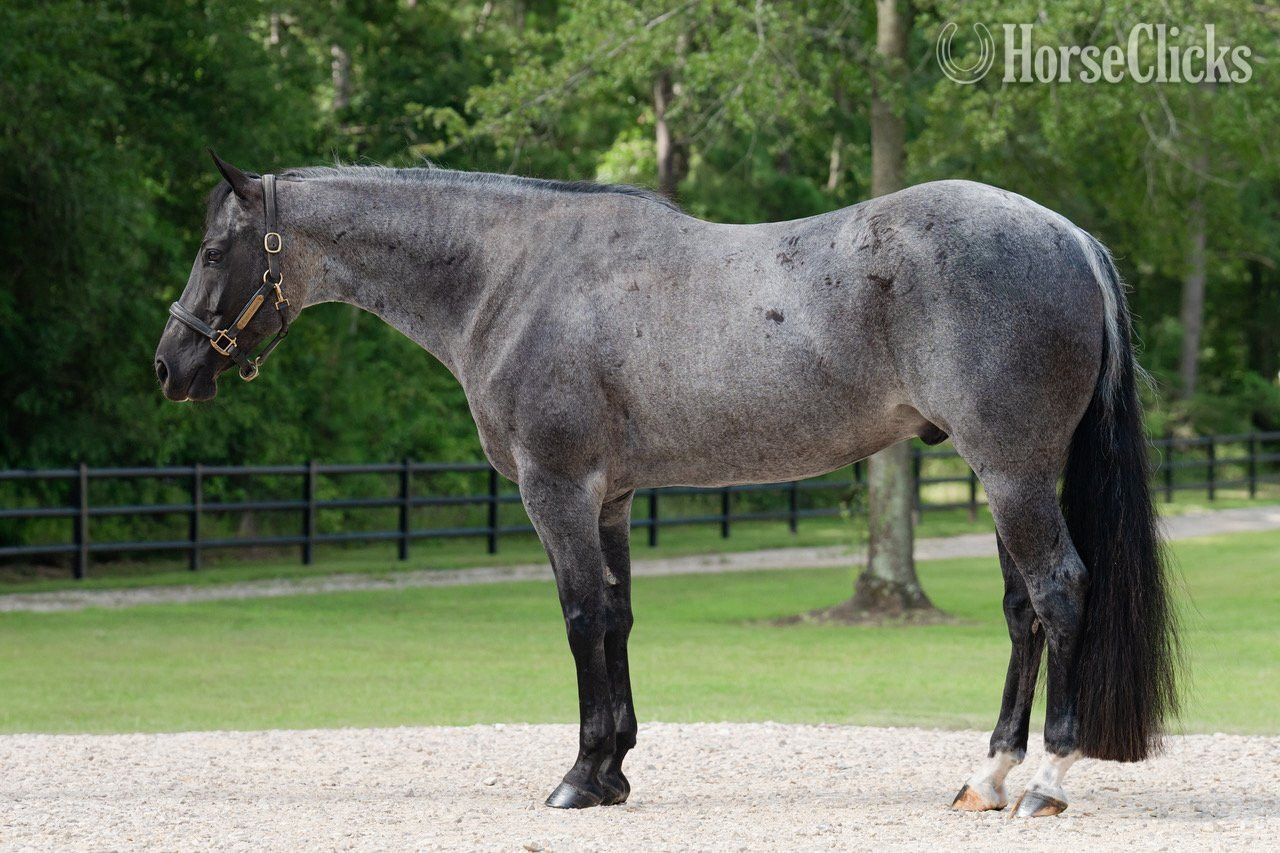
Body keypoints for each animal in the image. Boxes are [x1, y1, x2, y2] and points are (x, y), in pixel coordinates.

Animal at [154, 153, 1178, 817]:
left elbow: (577, 617)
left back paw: (1045, 782)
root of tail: (1069, 237)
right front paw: (614, 768)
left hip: (1011, 472)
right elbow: (616, 617)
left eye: (211, 251)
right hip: (1005, 475)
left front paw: (578, 777)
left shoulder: (557, 489)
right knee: (1021, 611)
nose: (169, 365)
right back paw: (988, 776)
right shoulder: (609, 497)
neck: (511, 277)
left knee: (1059, 592)